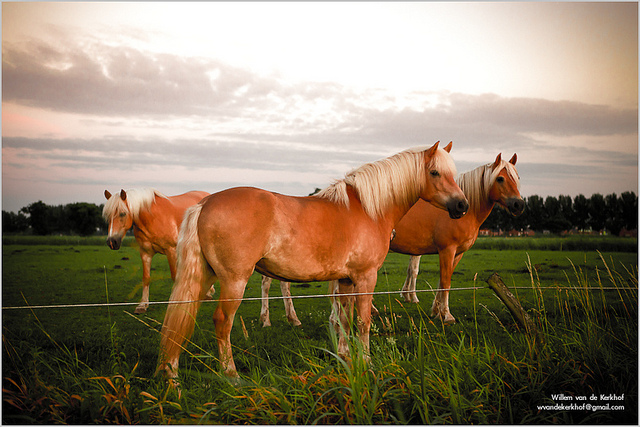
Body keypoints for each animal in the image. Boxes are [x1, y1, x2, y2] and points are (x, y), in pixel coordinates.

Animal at [157, 141, 469, 379]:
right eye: (435, 172)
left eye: (452, 174)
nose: (462, 205)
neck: (368, 208)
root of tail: (205, 203)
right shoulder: (366, 277)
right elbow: (364, 321)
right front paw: (367, 363)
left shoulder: (346, 280)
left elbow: (344, 319)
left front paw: (345, 357)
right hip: (234, 280)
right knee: (222, 321)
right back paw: (231, 374)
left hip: (205, 276)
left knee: (181, 316)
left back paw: (172, 373)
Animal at [260, 154, 524, 328]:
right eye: (500, 179)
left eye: (517, 177)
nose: (519, 205)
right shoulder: (446, 249)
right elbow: (445, 282)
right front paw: (445, 315)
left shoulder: (456, 253)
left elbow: (440, 281)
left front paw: (435, 310)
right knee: (274, 283)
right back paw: (279, 318)